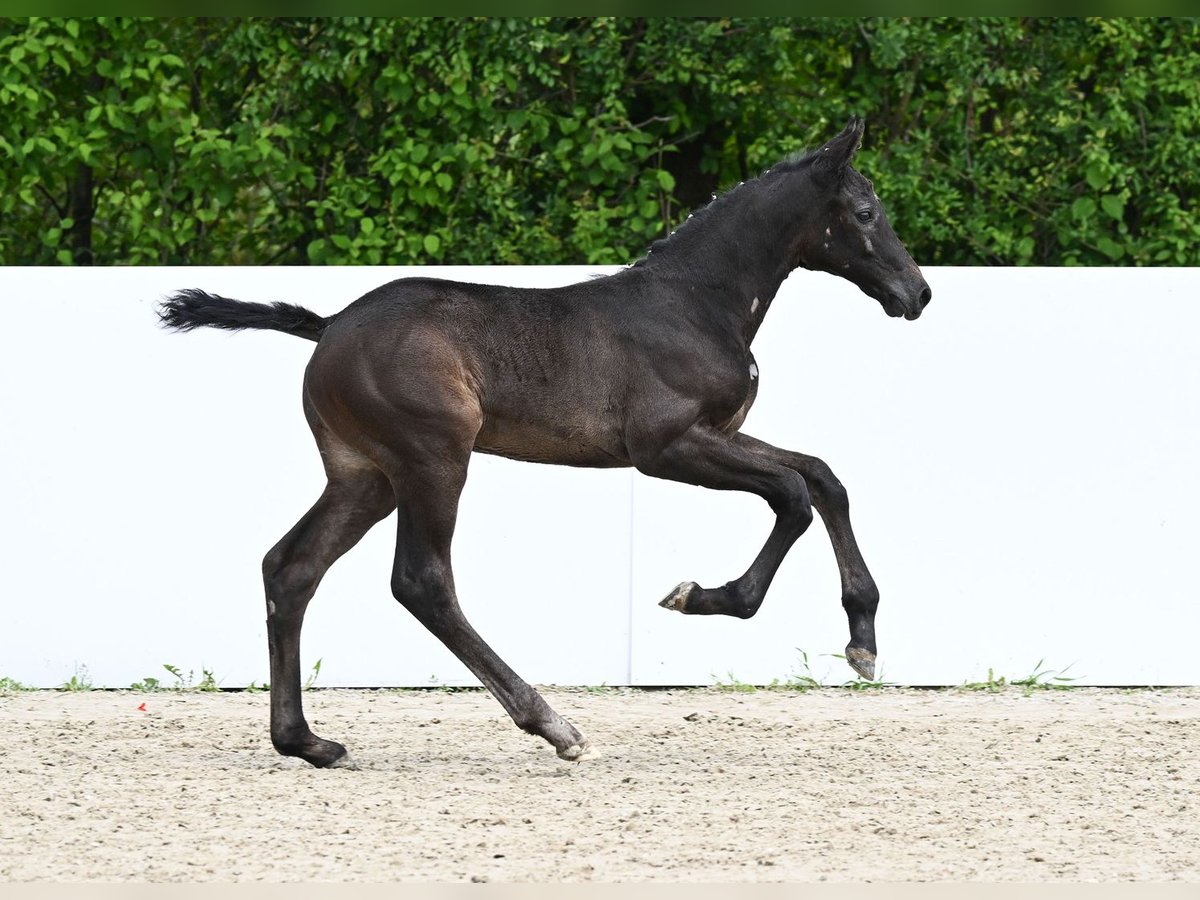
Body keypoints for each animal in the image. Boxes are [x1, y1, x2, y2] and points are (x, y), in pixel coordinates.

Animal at [157, 118, 926, 768]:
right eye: (865, 213)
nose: (917, 293)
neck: (694, 303)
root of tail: (328, 325)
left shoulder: (720, 434)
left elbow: (823, 476)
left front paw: (862, 642)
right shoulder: (666, 447)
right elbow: (792, 494)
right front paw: (704, 596)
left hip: (364, 476)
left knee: (292, 569)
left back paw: (308, 743)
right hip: (432, 461)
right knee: (421, 582)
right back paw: (555, 726)